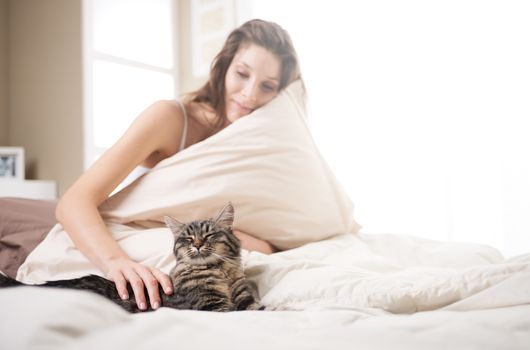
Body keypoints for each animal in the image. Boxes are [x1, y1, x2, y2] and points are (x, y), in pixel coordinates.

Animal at [0, 204, 262, 314]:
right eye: (187, 239)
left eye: (208, 235)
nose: (196, 245)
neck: (221, 272)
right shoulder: (212, 305)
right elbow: (239, 312)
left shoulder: (244, 297)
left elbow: (257, 308)